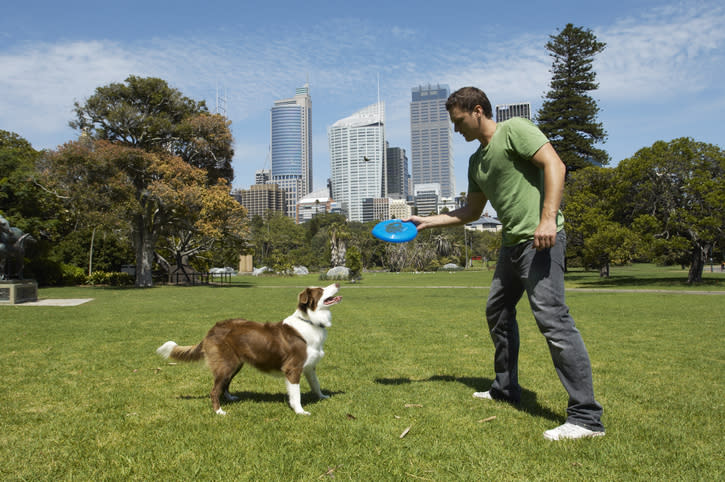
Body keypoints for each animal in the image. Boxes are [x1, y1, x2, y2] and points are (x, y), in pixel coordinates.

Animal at [154, 284, 340, 416]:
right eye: (321, 290)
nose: (337, 283)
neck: (311, 321)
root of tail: (212, 329)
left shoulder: (309, 367)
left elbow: (316, 384)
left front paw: (323, 397)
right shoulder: (293, 368)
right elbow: (296, 394)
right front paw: (300, 411)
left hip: (235, 364)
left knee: (225, 384)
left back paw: (230, 398)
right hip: (227, 363)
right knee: (214, 390)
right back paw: (219, 411)